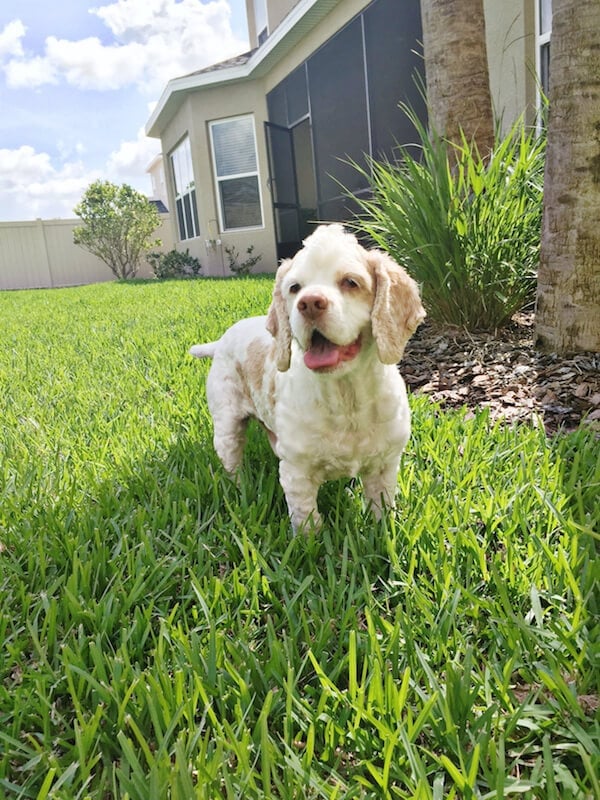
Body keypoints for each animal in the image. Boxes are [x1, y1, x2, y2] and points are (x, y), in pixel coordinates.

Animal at [190, 223, 424, 532]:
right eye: (294, 288)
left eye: (351, 282)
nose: (310, 303)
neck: (345, 396)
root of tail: (221, 341)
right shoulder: (296, 473)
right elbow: (307, 523)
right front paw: (311, 541)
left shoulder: (384, 464)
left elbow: (381, 510)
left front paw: (382, 532)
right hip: (227, 426)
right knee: (232, 465)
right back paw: (243, 492)